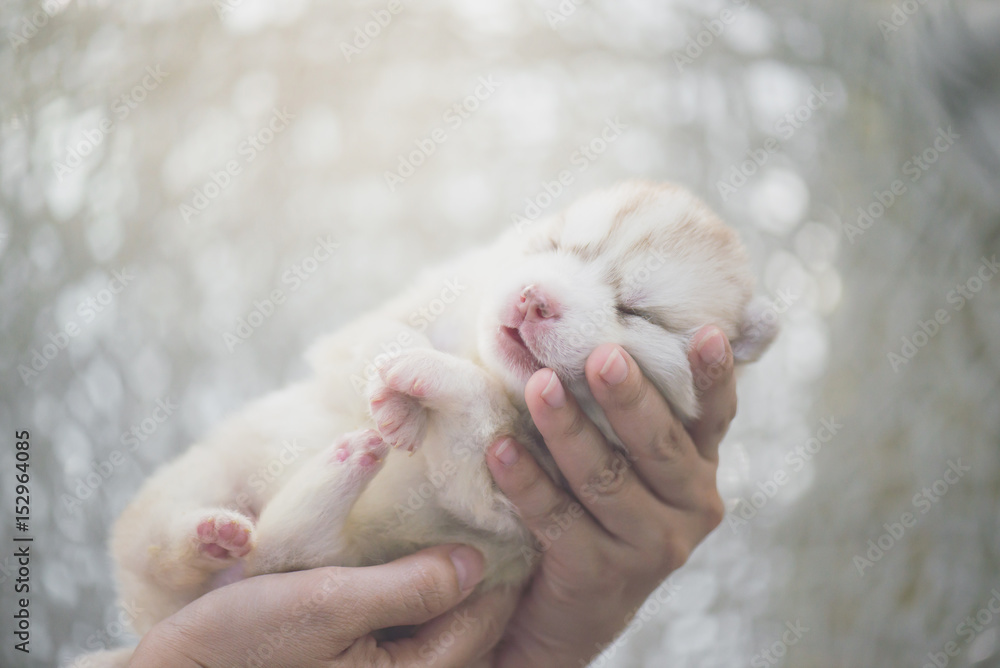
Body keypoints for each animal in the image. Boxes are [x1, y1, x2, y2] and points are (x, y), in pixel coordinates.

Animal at [105, 180, 776, 640]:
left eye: (637, 311)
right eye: (559, 245)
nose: (533, 299)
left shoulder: (503, 503)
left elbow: (475, 422)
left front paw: (428, 378)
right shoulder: (400, 310)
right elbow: (382, 336)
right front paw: (400, 385)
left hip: (329, 561)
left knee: (284, 552)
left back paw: (340, 469)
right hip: (199, 478)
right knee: (160, 548)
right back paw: (211, 533)